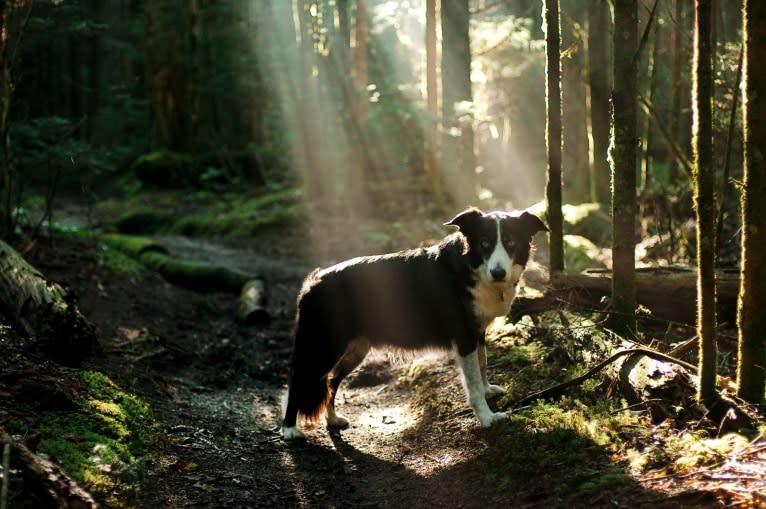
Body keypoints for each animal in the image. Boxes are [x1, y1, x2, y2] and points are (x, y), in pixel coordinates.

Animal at [282, 204, 544, 438]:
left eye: (510, 242)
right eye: (485, 243)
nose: (498, 273)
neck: (469, 267)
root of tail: (313, 282)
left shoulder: (477, 332)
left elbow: (483, 365)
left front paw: (489, 391)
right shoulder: (464, 336)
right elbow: (474, 384)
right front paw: (487, 418)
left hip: (355, 350)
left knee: (331, 381)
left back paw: (332, 418)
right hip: (325, 347)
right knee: (300, 380)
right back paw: (289, 429)